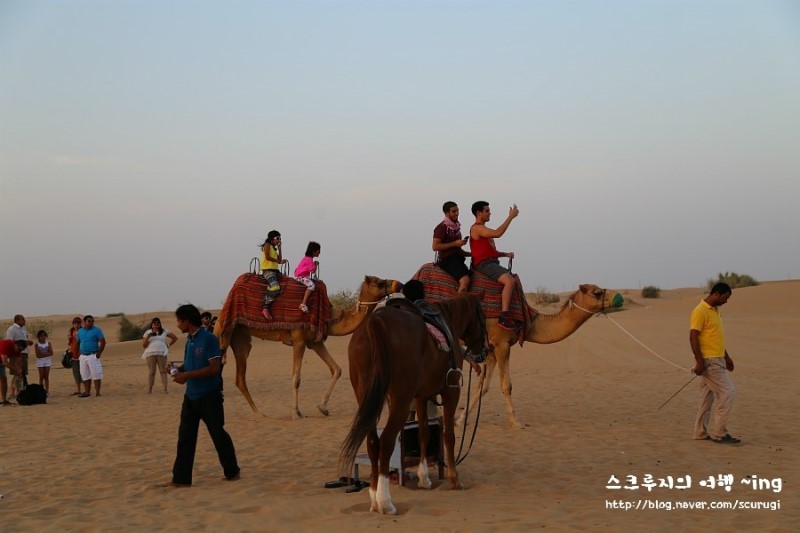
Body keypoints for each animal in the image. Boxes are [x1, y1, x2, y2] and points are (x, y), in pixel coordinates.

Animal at [214, 274, 400, 420]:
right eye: (380, 283)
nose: (397, 283)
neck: (328, 316)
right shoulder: (299, 340)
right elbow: (296, 378)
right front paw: (296, 413)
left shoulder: (315, 342)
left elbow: (336, 369)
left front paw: (323, 408)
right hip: (223, 333)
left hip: (241, 339)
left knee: (240, 378)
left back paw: (259, 413)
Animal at [338, 294, 488, 512]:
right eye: (483, 317)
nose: (484, 351)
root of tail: (376, 322)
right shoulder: (451, 393)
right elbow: (449, 436)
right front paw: (454, 479)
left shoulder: (421, 396)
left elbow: (423, 433)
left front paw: (424, 478)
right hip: (400, 400)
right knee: (386, 441)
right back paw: (385, 502)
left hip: (368, 398)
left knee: (373, 442)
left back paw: (374, 497)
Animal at [412, 262, 624, 428]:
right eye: (597, 293)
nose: (619, 298)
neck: (530, 319)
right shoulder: (502, 343)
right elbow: (506, 385)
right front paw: (516, 422)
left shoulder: (490, 349)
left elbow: (483, 386)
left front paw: (460, 419)